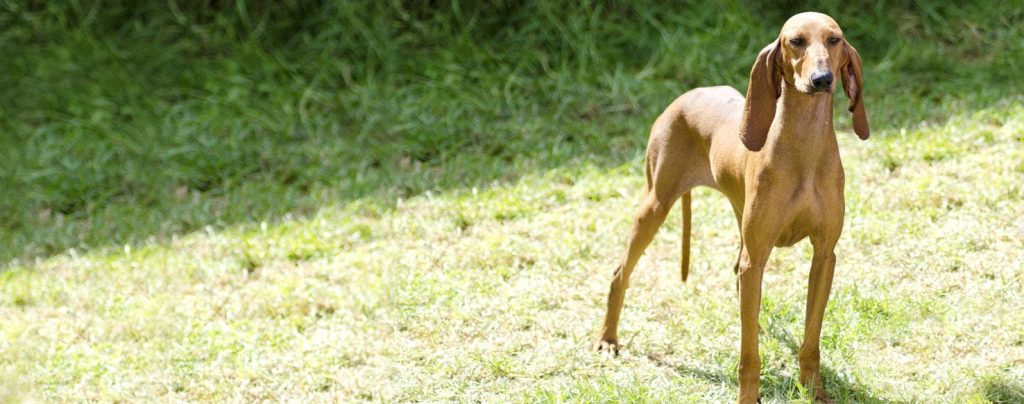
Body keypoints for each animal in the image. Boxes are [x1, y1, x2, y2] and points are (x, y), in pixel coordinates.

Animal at [598, 11, 868, 402]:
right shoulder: (757, 258)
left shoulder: (824, 256)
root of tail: (687, 95)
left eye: (834, 40)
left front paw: (814, 391)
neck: (804, 150)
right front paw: (748, 395)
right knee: (621, 272)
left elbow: (811, 340)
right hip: (655, 205)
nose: (822, 79)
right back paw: (608, 338)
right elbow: (748, 357)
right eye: (796, 41)